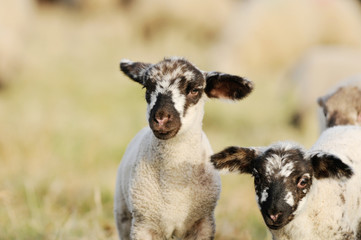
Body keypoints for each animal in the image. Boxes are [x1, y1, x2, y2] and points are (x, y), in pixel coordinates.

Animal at [113, 57, 253, 239]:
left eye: (194, 90)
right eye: (147, 87)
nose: (161, 118)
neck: (173, 184)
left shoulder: (203, 223)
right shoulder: (143, 226)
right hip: (123, 214)